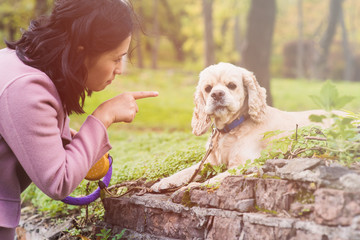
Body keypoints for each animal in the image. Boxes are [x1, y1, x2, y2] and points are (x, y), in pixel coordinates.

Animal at [150, 62, 334, 192]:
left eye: (231, 85)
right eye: (208, 88)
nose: (217, 94)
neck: (229, 129)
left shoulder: (243, 163)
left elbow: (215, 178)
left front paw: (192, 186)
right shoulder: (210, 162)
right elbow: (189, 170)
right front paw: (164, 182)